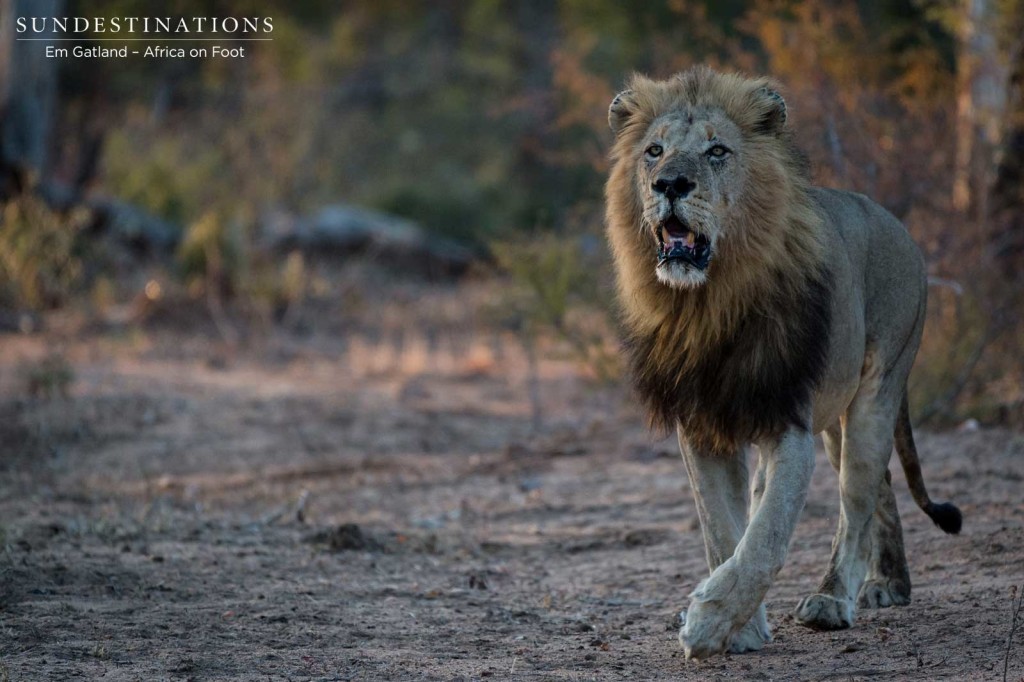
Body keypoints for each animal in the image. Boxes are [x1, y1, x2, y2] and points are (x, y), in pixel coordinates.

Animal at [598, 66, 958, 655]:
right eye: (654, 151)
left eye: (717, 151)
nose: (669, 184)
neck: (707, 305)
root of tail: (895, 221)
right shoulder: (701, 429)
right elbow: (723, 531)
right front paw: (740, 628)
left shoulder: (788, 424)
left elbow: (766, 537)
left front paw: (710, 621)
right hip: (830, 422)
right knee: (879, 485)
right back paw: (890, 583)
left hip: (875, 394)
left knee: (858, 498)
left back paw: (834, 599)